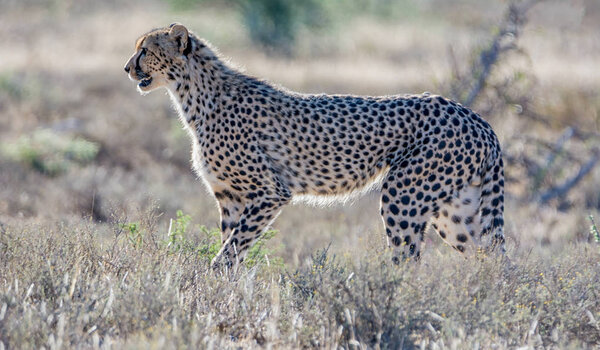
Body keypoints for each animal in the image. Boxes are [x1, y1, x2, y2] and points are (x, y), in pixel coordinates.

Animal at [124, 23, 504, 266]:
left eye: (145, 50)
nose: (127, 68)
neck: (196, 95)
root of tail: (476, 117)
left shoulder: (269, 193)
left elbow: (229, 253)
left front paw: (209, 285)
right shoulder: (231, 198)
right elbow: (233, 249)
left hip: (404, 196)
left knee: (408, 261)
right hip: (457, 210)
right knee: (494, 261)